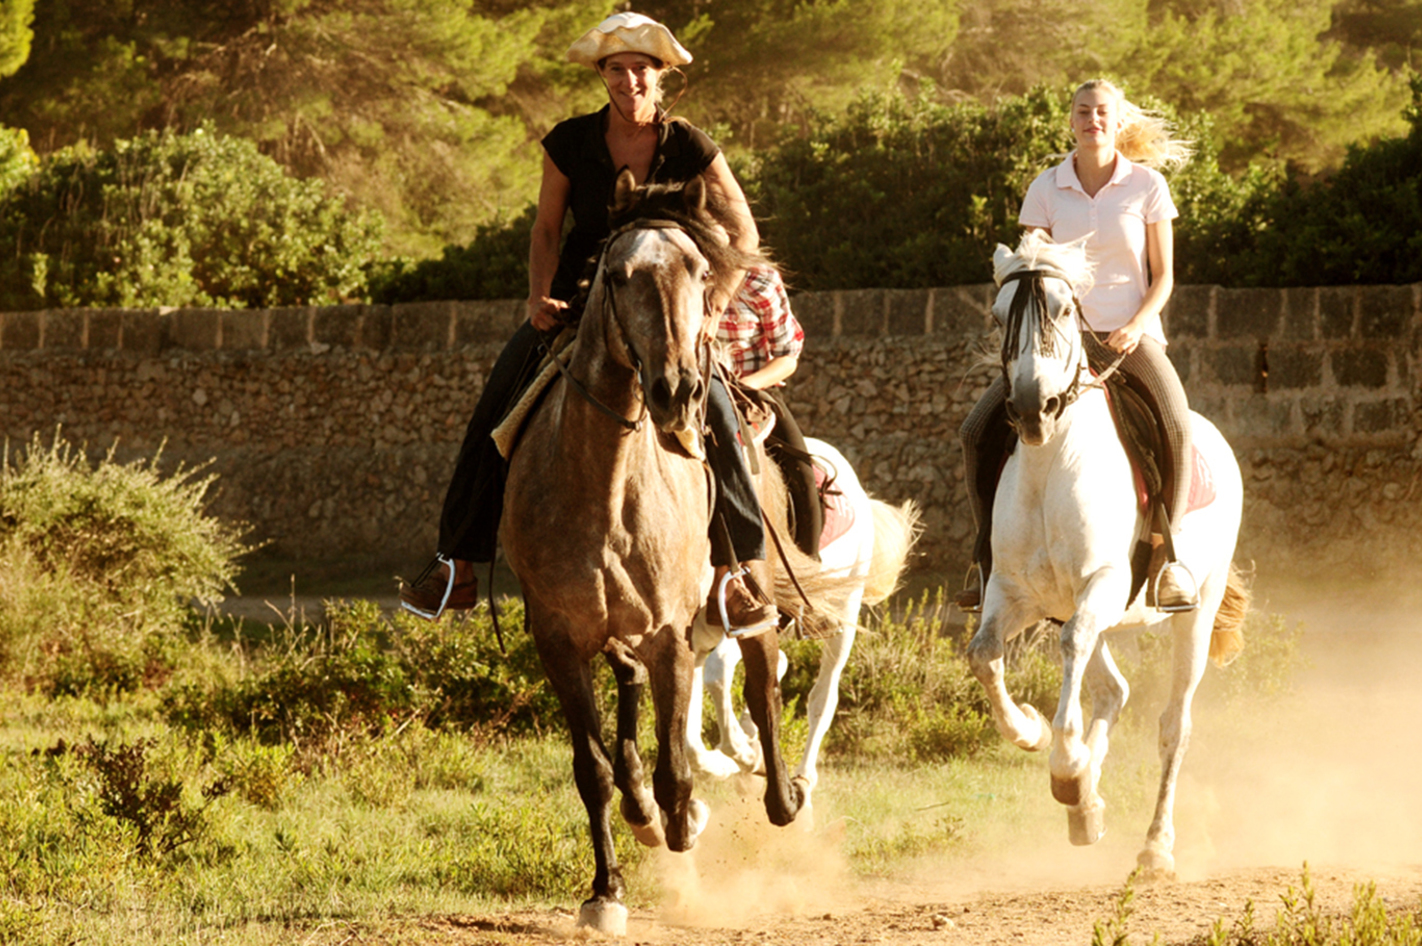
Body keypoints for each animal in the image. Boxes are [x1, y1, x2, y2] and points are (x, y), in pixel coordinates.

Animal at [500, 167, 813, 927]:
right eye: (617, 275)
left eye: (699, 271)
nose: (679, 390)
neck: (603, 487)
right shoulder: (559, 640)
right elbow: (592, 769)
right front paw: (605, 890)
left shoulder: (670, 632)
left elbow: (678, 764)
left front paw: (684, 817)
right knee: (631, 693)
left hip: (747, 593)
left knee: (760, 684)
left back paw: (782, 796)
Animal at [688, 438, 921, 802]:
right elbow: (689, 736)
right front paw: (725, 761)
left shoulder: (748, 617)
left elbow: (717, 672)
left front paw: (743, 755)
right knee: (779, 664)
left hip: (842, 612)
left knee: (823, 697)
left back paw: (802, 775)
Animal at [961, 230, 1251, 876]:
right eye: (997, 316)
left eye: (1065, 310)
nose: (1033, 409)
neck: (1051, 464)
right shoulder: (1013, 593)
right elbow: (984, 654)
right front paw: (1033, 734)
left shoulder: (1103, 583)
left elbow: (1069, 649)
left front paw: (1066, 768)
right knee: (1113, 691)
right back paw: (1086, 806)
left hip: (1193, 613)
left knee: (1173, 725)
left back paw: (1154, 847)